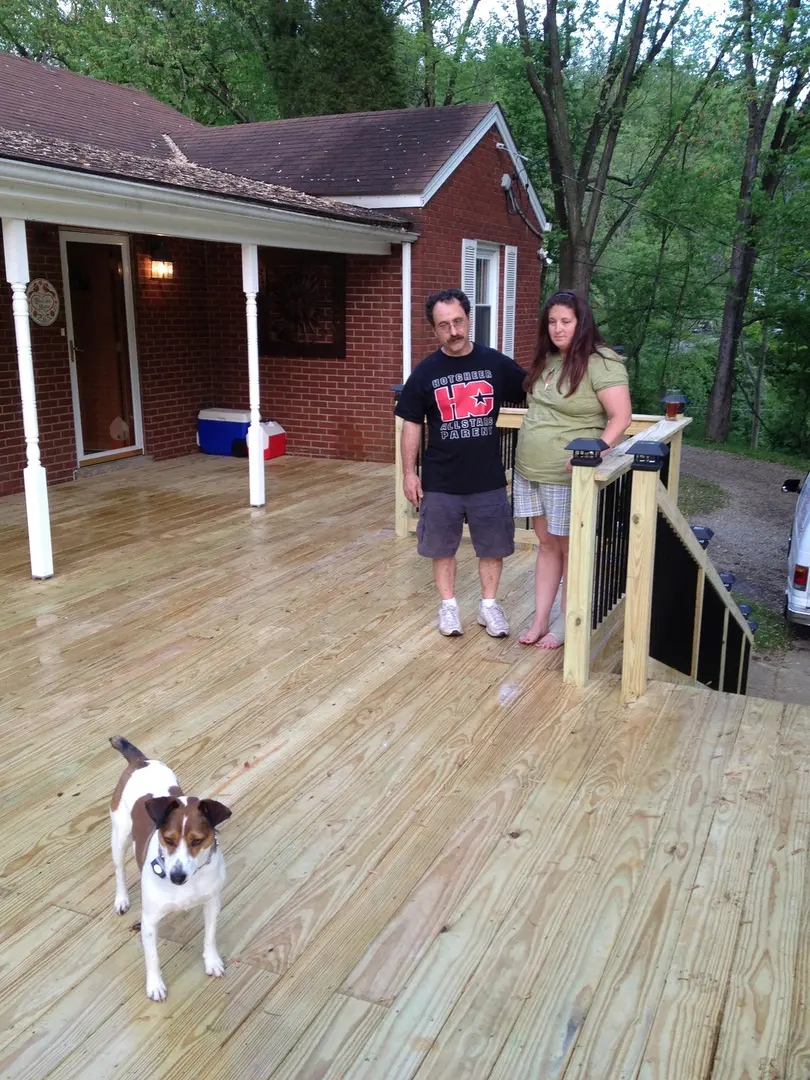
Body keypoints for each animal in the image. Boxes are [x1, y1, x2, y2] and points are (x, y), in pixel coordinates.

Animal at [109, 738, 233, 997]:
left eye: (197, 841)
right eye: (168, 839)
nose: (176, 877)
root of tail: (141, 760)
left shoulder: (212, 904)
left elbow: (210, 936)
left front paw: (212, 961)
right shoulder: (149, 921)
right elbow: (152, 957)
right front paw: (155, 985)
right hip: (119, 837)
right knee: (119, 871)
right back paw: (121, 899)